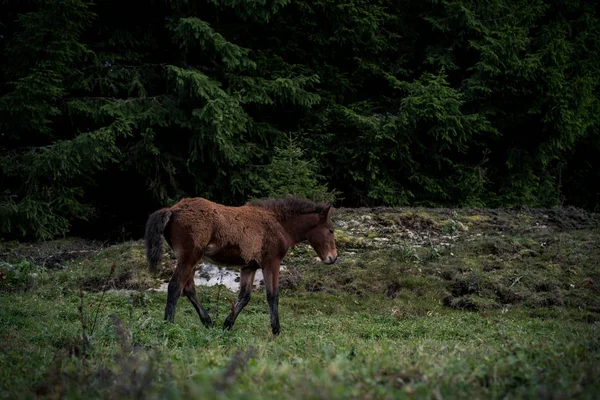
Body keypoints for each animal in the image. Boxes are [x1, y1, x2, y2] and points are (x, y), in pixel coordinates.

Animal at [142, 194, 338, 334]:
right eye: (331, 230)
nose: (333, 258)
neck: (278, 224)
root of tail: (172, 210)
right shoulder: (271, 262)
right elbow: (272, 295)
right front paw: (276, 330)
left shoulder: (248, 267)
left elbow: (244, 296)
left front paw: (227, 324)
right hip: (189, 257)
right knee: (176, 286)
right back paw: (168, 324)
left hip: (188, 259)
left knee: (188, 288)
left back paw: (208, 321)